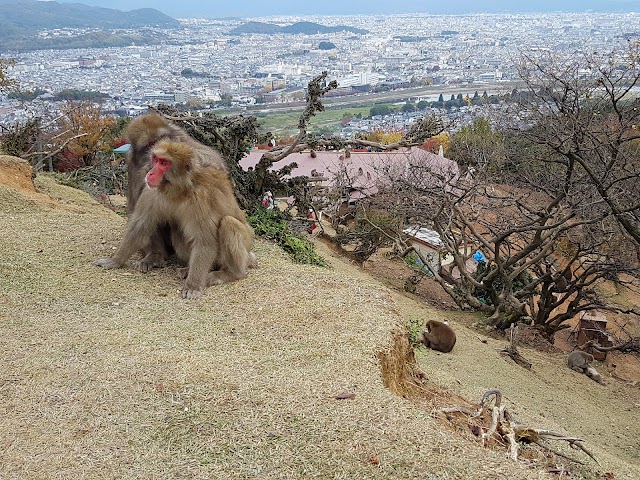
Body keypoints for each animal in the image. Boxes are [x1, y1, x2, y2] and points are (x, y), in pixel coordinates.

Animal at [95, 139, 255, 298]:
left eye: (164, 163)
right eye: (156, 159)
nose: (150, 173)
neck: (179, 190)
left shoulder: (201, 199)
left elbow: (204, 241)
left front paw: (193, 286)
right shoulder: (152, 191)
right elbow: (141, 226)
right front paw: (114, 261)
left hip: (243, 248)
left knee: (228, 223)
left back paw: (230, 273)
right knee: (176, 230)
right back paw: (188, 269)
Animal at [124, 110, 226, 272]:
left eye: (161, 139)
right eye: (150, 144)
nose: (158, 152)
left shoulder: (182, 139)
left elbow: (212, 160)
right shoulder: (131, 163)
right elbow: (138, 203)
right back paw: (155, 255)